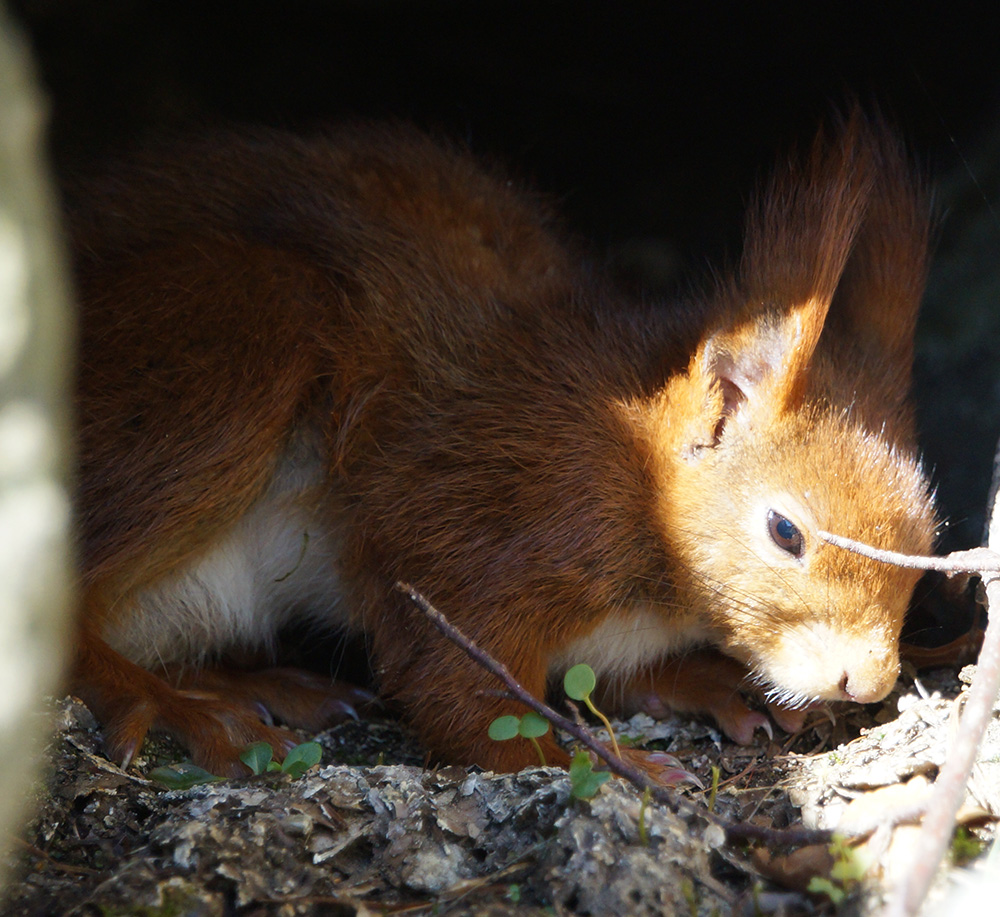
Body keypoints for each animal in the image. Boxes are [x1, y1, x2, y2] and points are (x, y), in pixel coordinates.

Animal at [68, 111, 936, 776]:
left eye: (929, 540)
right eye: (785, 531)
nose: (870, 681)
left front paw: (704, 679)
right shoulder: (486, 523)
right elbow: (462, 697)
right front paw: (597, 760)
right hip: (232, 345)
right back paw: (180, 706)